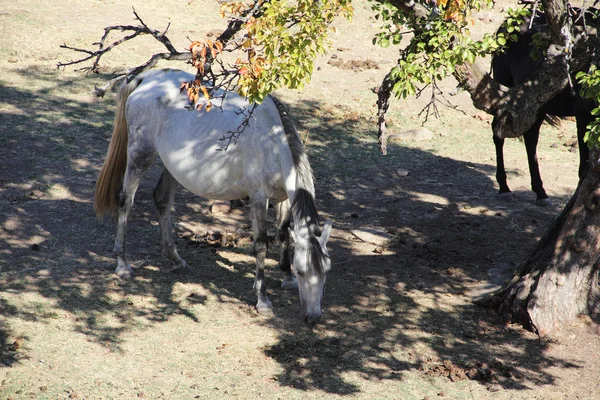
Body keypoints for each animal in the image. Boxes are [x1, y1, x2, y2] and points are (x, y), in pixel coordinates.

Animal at [94, 69, 332, 324]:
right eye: (302, 271)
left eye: (326, 270)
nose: (313, 317)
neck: (273, 142)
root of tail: (148, 78)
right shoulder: (258, 198)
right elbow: (261, 245)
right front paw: (263, 300)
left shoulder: (284, 198)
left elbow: (284, 232)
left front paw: (286, 278)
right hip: (140, 154)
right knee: (125, 201)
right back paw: (123, 264)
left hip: (172, 166)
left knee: (162, 199)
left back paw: (175, 259)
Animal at [492, 9, 596, 206]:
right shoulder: (582, 114)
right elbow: (583, 165)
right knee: (499, 134)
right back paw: (504, 188)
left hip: (537, 106)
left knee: (530, 139)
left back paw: (540, 192)